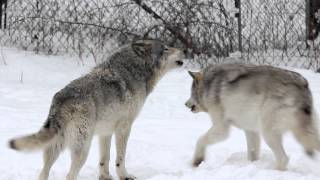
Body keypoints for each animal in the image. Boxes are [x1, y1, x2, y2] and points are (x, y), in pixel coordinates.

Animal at [8, 39, 185, 180]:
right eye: (166, 48)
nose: (184, 50)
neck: (137, 71)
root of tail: (61, 99)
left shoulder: (105, 132)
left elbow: (104, 159)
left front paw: (105, 177)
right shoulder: (124, 128)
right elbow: (120, 159)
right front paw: (125, 176)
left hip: (56, 147)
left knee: (43, 173)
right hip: (82, 149)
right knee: (70, 175)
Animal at [185, 64, 320, 171]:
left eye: (191, 92)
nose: (185, 104)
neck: (210, 85)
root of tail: (302, 85)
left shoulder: (221, 129)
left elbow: (200, 140)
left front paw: (197, 161)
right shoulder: (251, 131)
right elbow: (253, 154)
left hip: (269, 133)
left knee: (283, 159)